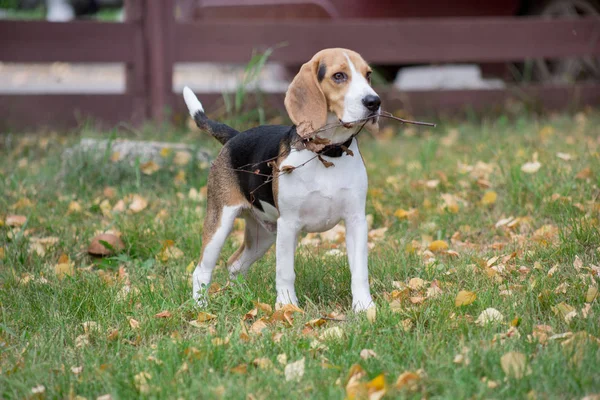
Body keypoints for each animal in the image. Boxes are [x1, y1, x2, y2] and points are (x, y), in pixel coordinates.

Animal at [183, 47, 380, 312]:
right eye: (339, 76)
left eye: (368, 74)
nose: (374, 102)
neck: (326, 153)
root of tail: (234, 136)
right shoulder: (289, 224)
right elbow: (285, 272)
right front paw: (287, 306)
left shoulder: (356, 221)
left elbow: (359, 270)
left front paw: (364, 307)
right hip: (221, 222)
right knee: (201, 270)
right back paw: (201, 306)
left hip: (264, 234)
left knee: (234, 264)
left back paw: (241, 297)